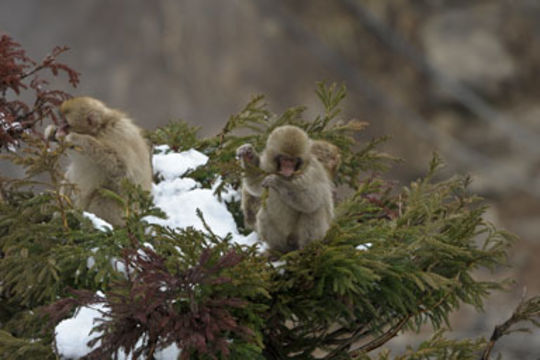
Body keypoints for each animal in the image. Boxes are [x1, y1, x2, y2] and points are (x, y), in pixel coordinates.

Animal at [44, 95, 152, 225]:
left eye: (67, 125)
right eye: (62, 123)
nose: (59, 128)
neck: (100, 130)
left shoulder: (118, 135)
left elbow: (121, 170)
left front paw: (80, 140)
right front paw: (51, 133)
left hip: (124, 215)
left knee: (104, 196)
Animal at [238, 125, 336, 255]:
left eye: (293, 160)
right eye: (284, 159)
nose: (288, 168)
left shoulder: (313, 172)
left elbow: (311, 200)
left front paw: (278, 182)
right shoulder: (268, 167)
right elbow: (256, 185)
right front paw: (248, 155)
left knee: (313, 211)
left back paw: (307, 249)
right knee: (264, 214)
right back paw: (279, 250)